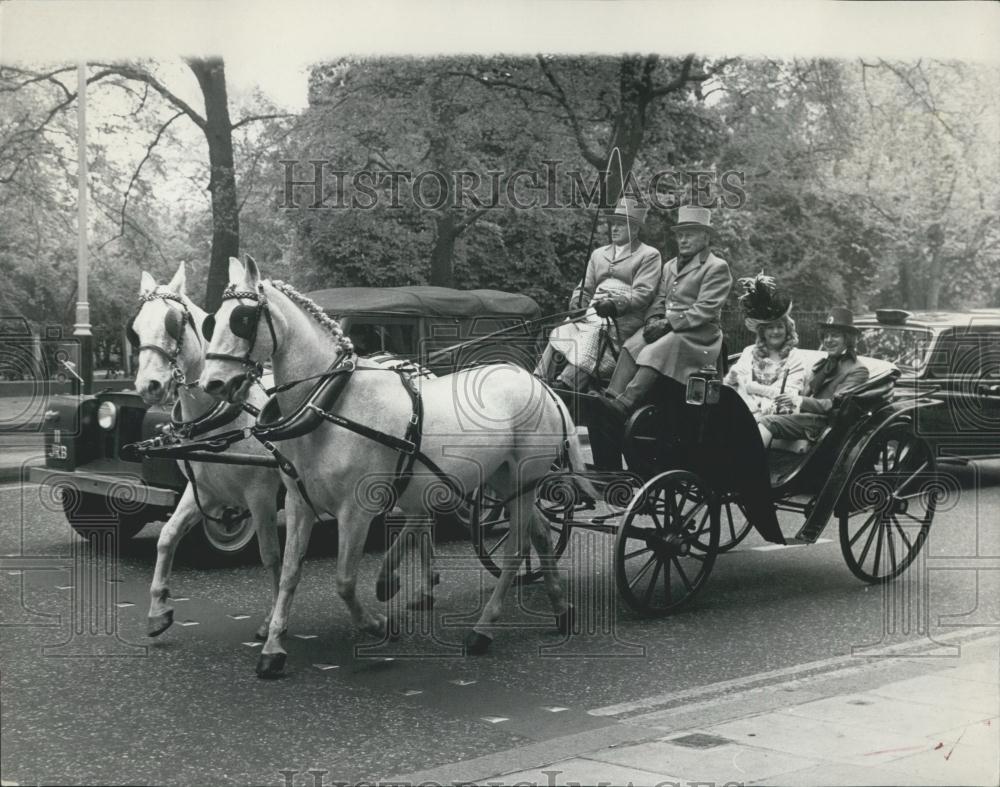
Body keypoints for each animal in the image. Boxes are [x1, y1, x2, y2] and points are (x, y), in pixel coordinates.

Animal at [131, 264, 284, 640]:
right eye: (135, 329)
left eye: (174, 323)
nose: (148, 386)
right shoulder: (205, 490)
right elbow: (168, 536)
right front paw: (158, 610)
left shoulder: (261, 494)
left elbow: (271, 554)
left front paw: (271, 621)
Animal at [198, 258, 584, 676]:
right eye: (212, 321)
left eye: (242, 319)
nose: (211, 384)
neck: (331, 403)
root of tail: (538, 384)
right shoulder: (300, 503)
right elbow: (289, 573)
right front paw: (273, 648)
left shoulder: (356, 509)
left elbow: (344, 580)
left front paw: (379, 625)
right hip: (504, 480)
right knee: (541, 535)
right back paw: (561, 608)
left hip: (523, 478)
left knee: (516, 548)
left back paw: (484, 628)